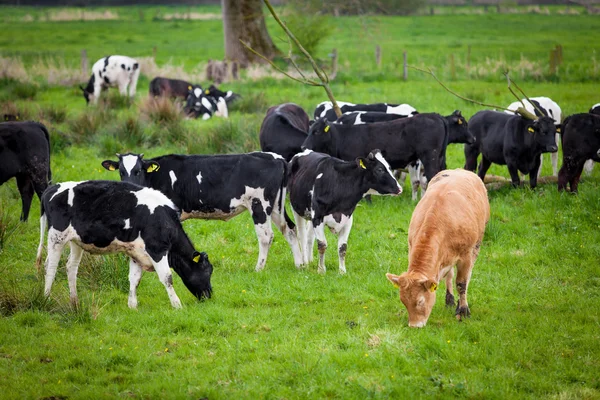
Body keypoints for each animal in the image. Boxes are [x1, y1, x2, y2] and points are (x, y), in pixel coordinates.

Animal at [35, 180, 213, 310]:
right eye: (207, 271)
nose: (209, 295)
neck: (165, 220)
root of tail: (52, 187)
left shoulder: (136, 252)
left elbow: (134, 279)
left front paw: (132, 306)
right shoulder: (157, 249)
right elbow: (167, 277)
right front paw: (177, 305)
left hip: (76, 241)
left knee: (71, 267)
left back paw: (75, 301)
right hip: (56, 236)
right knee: (50, 266)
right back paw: (46, 298)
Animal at [101, 152, 304, 272]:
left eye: (137, 170)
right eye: (121, 171)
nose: (127, 184)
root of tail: (276, 157)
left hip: (259, 204)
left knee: (266, 236)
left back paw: (259, 268)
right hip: (276, 206)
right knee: (290, 229)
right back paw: (300, 264)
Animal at [302, 111, 448, 191]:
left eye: (316, 131)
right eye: (309, 130)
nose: (303, 146)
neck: (343, 136)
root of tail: (436, 116)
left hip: (430, 157)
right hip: (439, 157)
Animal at [386, 169, 490, 328]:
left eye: (420, 301)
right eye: (403, 301)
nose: (414, 326)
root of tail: (461, 170)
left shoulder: (465, 255)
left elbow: (462, 283)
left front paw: (463, 311)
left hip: (476, 245)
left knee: (467, 276)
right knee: (450, 275)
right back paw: (450, 299)